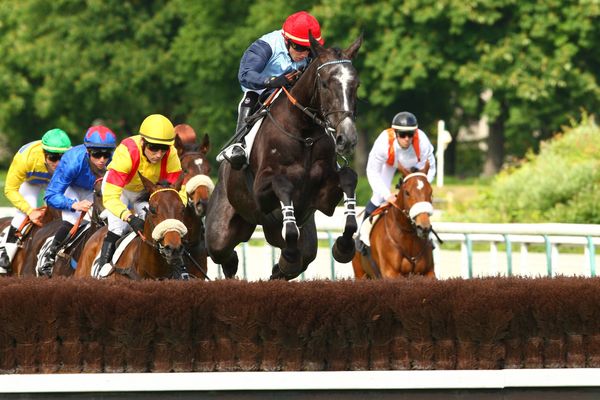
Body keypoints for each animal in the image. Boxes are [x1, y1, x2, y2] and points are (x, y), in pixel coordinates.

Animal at [206, 34, 364, 280]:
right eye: (325, 84)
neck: (304, 133)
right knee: (223, 252)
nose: (346, 138)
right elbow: (283, 186)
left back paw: (280, 268)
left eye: (355, 85)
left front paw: (344, 246)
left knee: (302, 256)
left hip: (300, 234)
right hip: (220, 229)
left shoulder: (324, 196)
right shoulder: (263, 189)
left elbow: (349, 178)